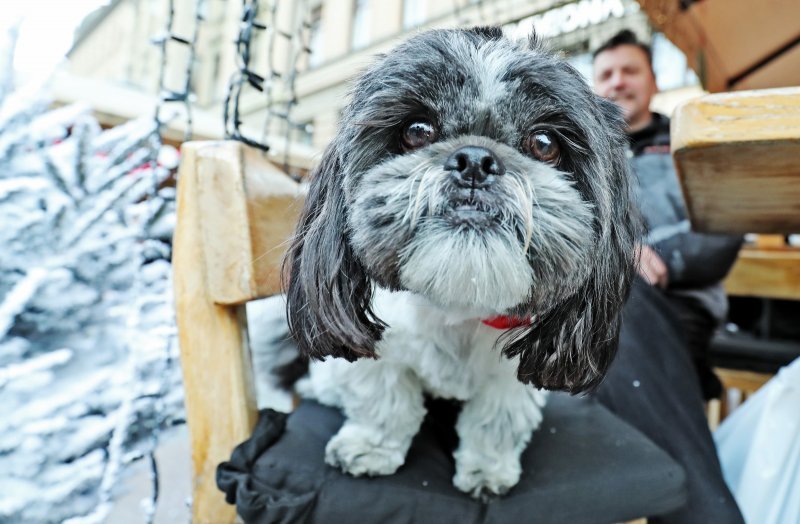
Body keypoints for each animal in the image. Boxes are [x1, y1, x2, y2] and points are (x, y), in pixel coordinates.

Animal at [282, 26, 636, 498]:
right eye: (416, 131)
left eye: (544, 144)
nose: (475, 160)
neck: (459, 304)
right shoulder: (384, 353)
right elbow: (383, 400)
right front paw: (369, 448)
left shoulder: (509, 380)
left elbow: (496, 421)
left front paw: (488, 470)